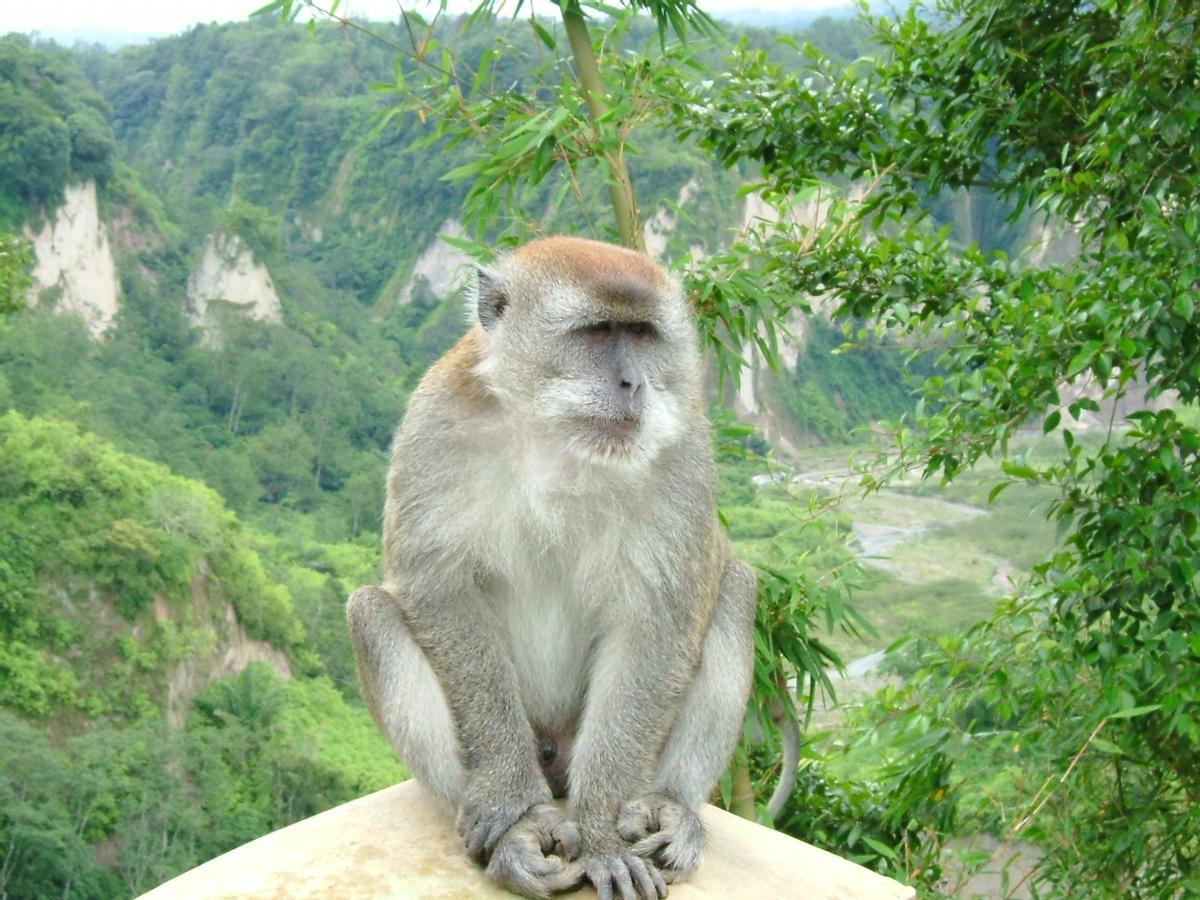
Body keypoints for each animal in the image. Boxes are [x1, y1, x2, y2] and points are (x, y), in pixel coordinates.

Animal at [347, 236, 756, 900]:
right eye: (597, 332)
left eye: (641, 333)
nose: (633, 382)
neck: (553, 435)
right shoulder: (436, 421)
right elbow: (440, 588)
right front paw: (509, 799)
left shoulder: (686, 449)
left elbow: (657, 621)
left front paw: (601, 830)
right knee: (372, 612)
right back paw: (519, 830)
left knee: (737, 589)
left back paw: (671, 807)